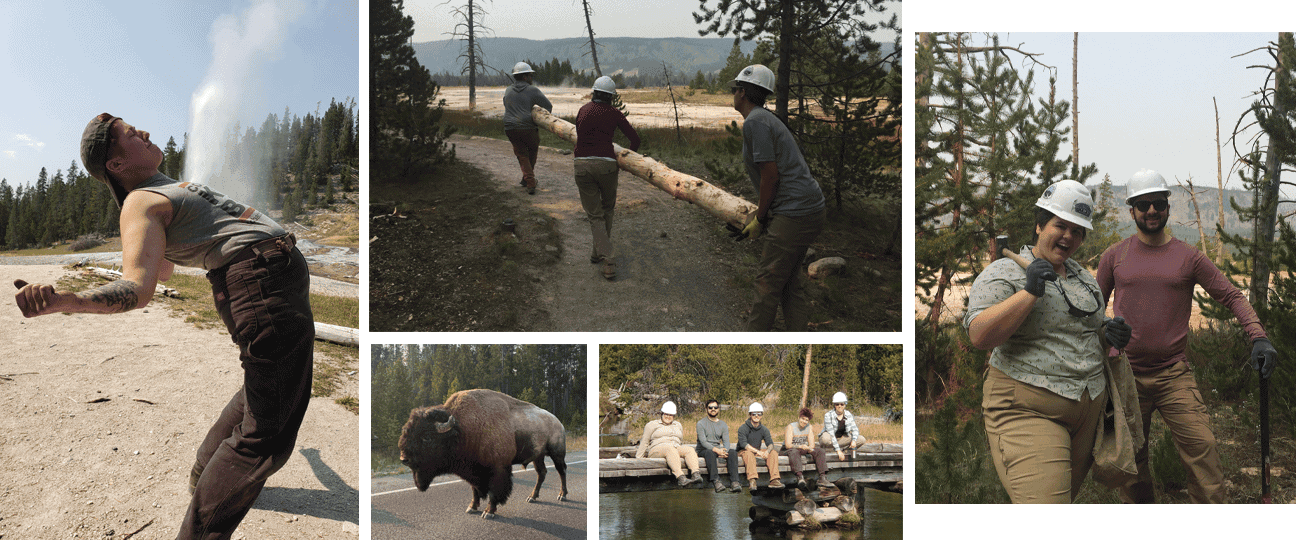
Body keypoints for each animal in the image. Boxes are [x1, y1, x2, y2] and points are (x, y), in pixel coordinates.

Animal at [396, 388, 570, 517]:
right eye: (406, 432)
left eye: (426, 437)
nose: (404, 458)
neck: (463, 429)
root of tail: (558, 421)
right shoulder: (473, 471)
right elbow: (475, 490)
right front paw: (471, 507)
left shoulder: (498, 469)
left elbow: (494, 491)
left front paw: (488, 512)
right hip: (538, 456)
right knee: (542, 473)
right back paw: (532, 497)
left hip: (557, 453)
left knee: (561, 471)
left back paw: (562, 495)